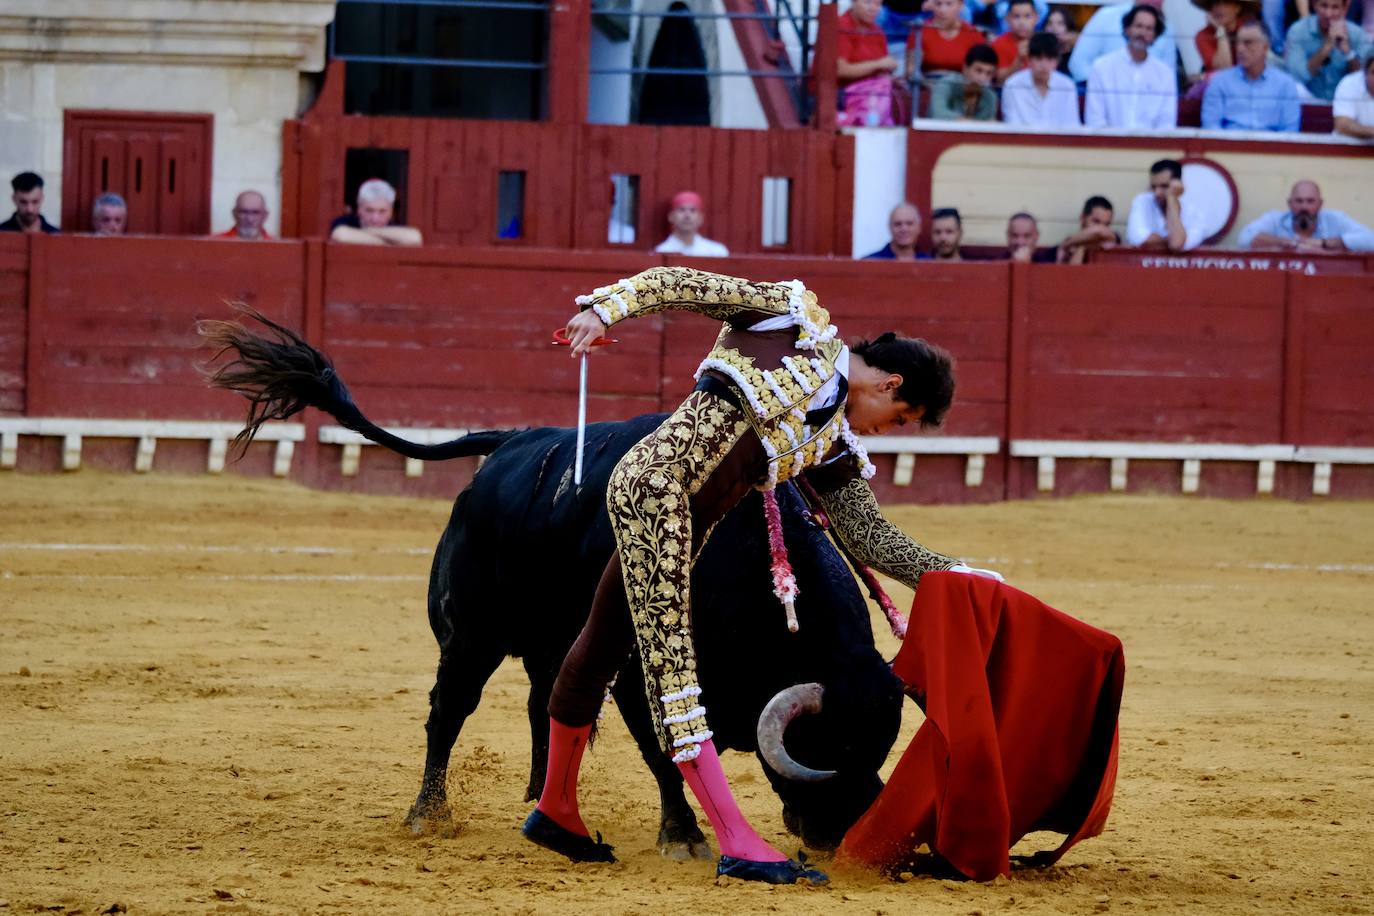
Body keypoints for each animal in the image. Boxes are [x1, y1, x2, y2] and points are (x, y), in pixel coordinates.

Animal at [193, 313, 901, 851]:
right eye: (829, 745)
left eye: (882, 748)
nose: (840, 833)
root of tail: (510, 444)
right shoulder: (637, 671)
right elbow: (665, 749)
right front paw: (683, 834)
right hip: (470, 636)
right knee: (449, 709)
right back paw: (429, 814)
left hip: (546, 638)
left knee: (543, 701)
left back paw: (541, 797)